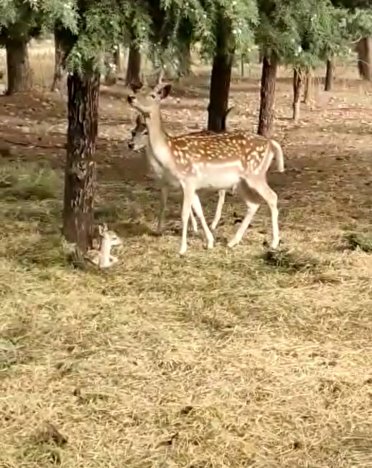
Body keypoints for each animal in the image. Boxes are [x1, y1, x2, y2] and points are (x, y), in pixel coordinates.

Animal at [128, 81, 284, 256]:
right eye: (138, 90)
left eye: (153, 95)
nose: (131, 97)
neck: (170, 154)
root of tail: (271, 143)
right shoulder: (189, 184)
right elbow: (199, 210)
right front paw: (209, 242)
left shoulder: (188, 179)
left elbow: (184, 213)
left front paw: (182, 249)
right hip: (241, 182)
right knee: (253, 203)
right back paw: (232, 242)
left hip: (256, 174)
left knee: (272, 197)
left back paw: (274, 243)